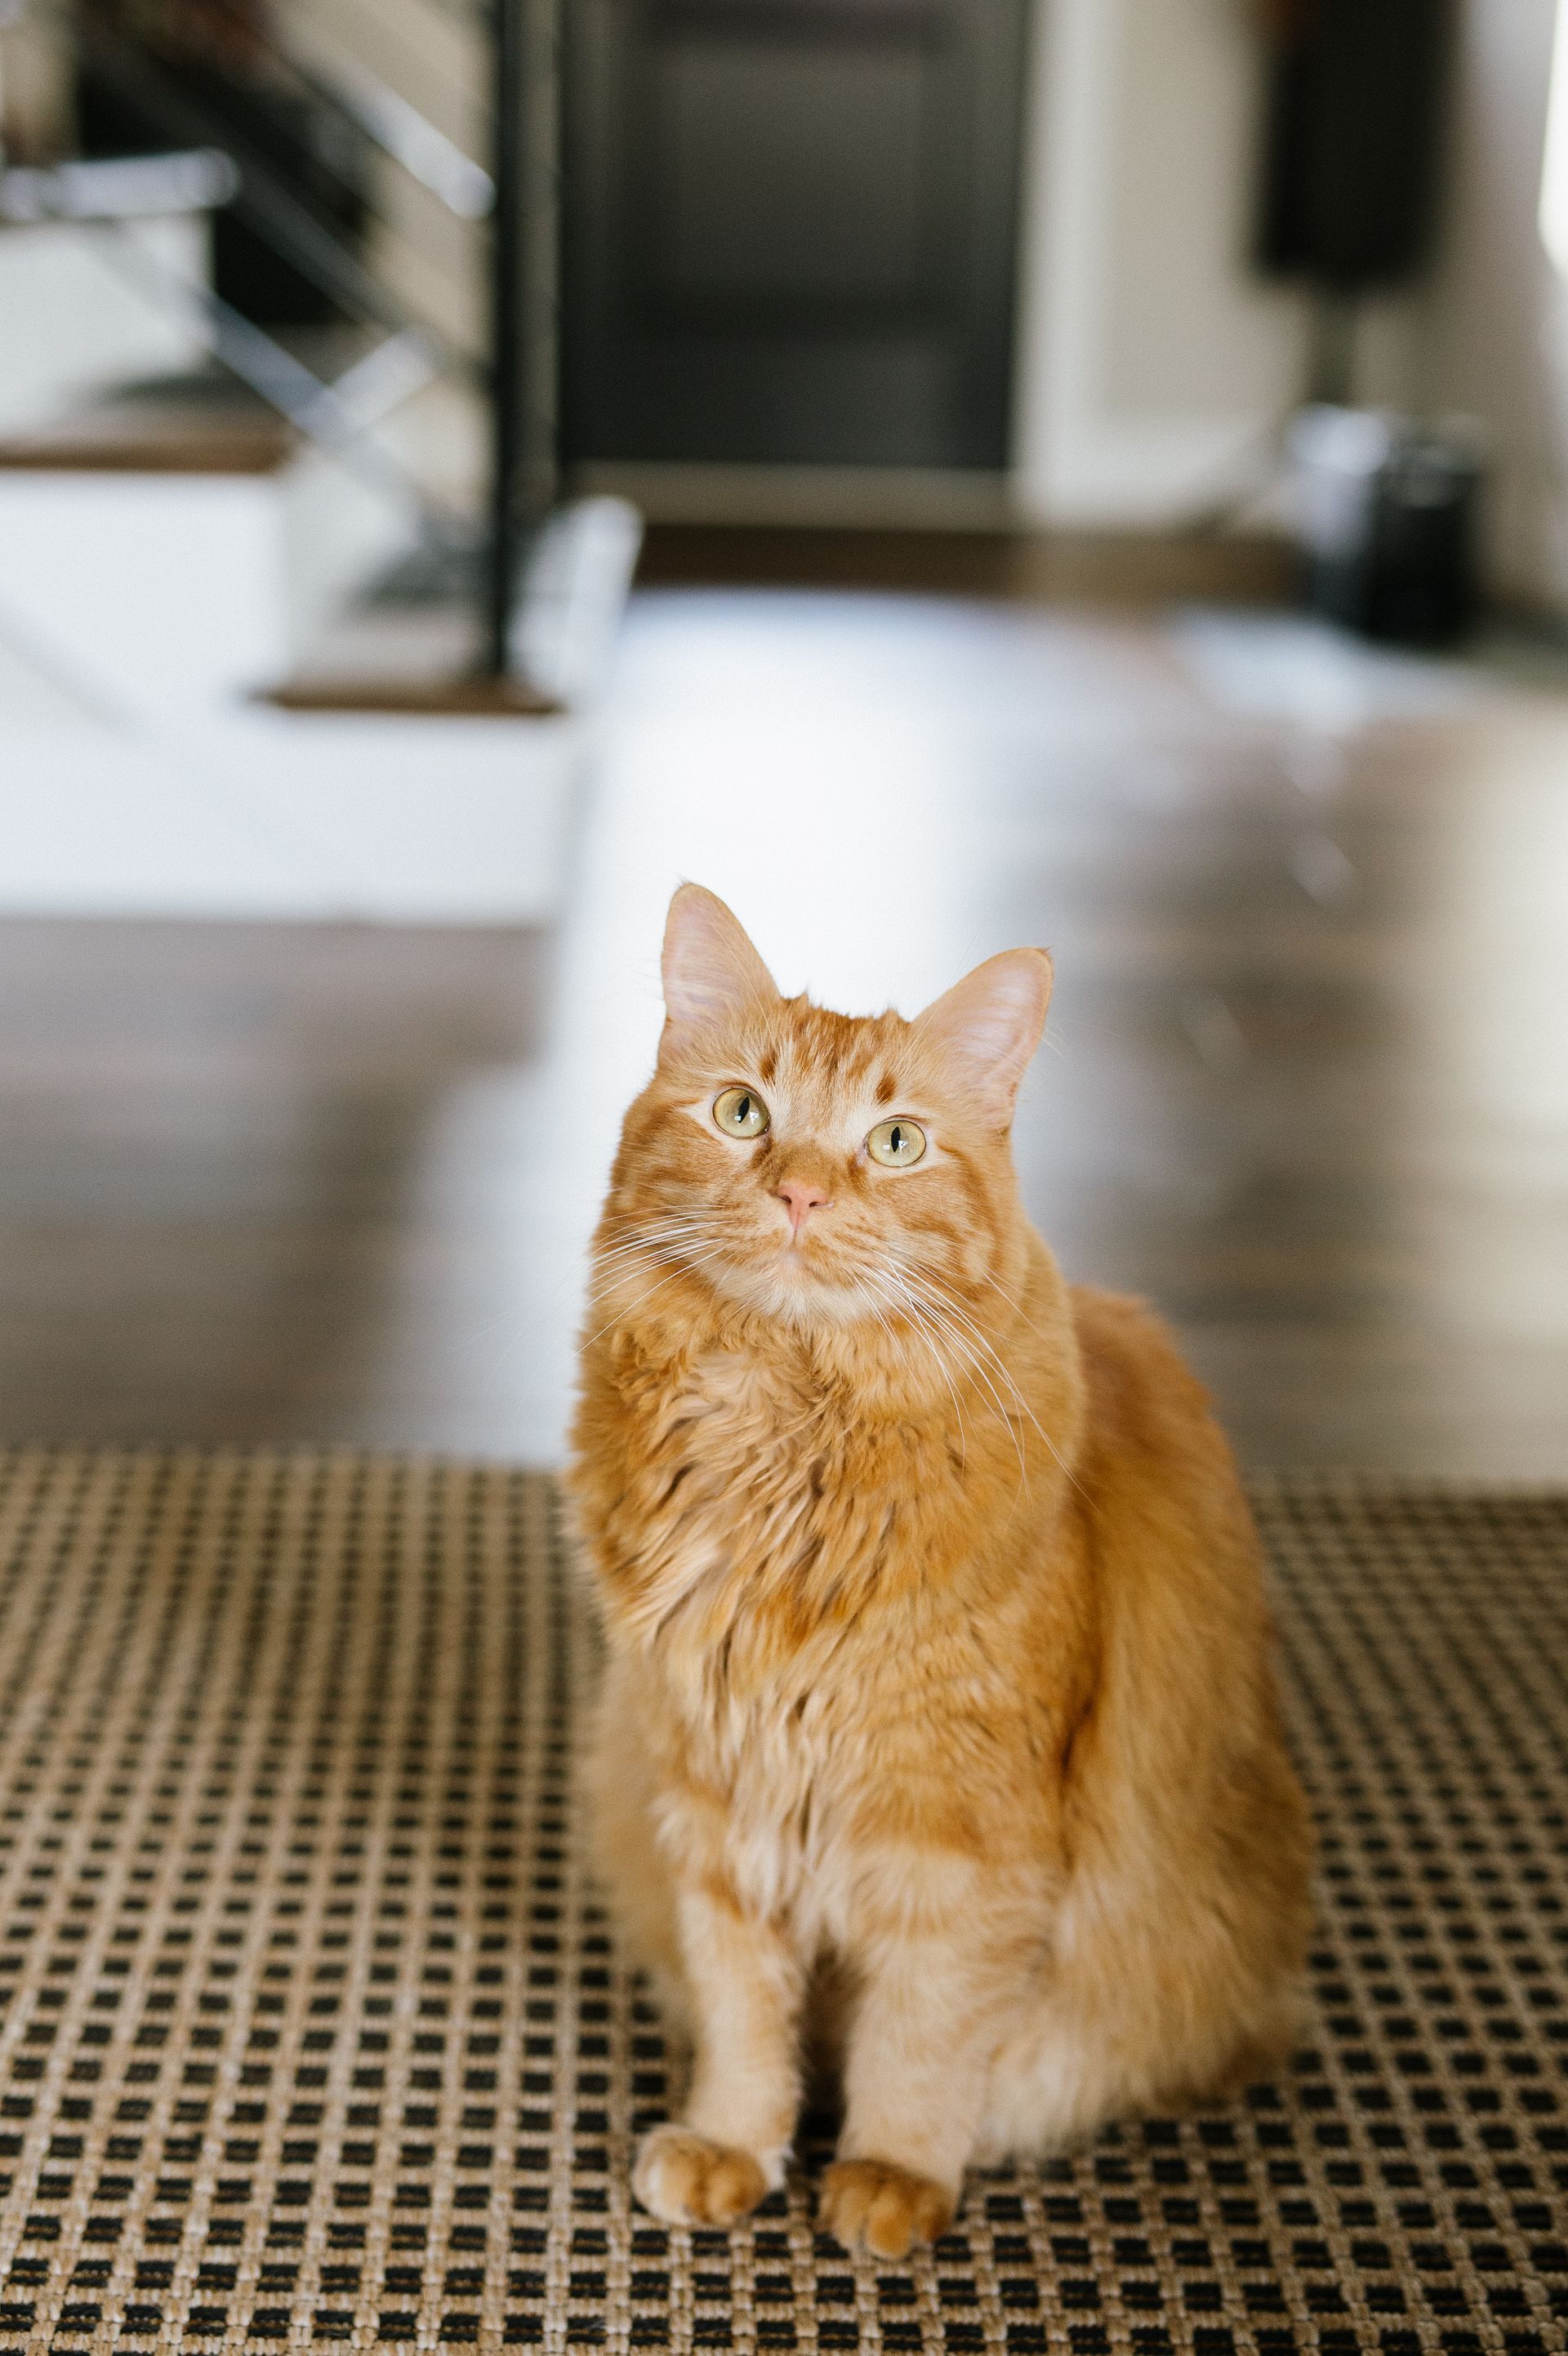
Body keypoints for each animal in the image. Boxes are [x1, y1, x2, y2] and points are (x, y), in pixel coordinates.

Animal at [563, 885, 1308, 2261]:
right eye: (742, 1113)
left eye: (896, 1141)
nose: (800, 1193)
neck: (780, 1439)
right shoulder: (713, 1804)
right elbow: (744, 2010)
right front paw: (735, 2142)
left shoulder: (959, 1843)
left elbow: (921, 2032)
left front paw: (893, 2174)